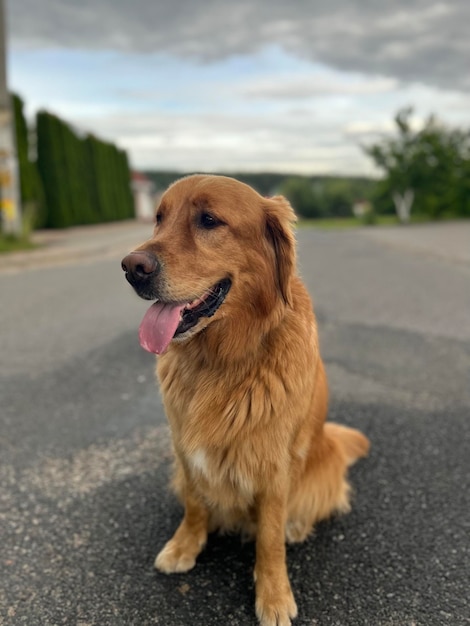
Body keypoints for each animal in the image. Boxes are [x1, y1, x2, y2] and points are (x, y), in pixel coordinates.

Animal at [122, 174, 370, 624]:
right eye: (158, 219)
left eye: (209, 220)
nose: (132, 267)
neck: (221, 358)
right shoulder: (184, 449)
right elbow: (194, 503)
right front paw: (185, 544)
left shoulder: (273, 464)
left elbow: (268, 537)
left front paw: (272, 594)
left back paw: (296, 526)